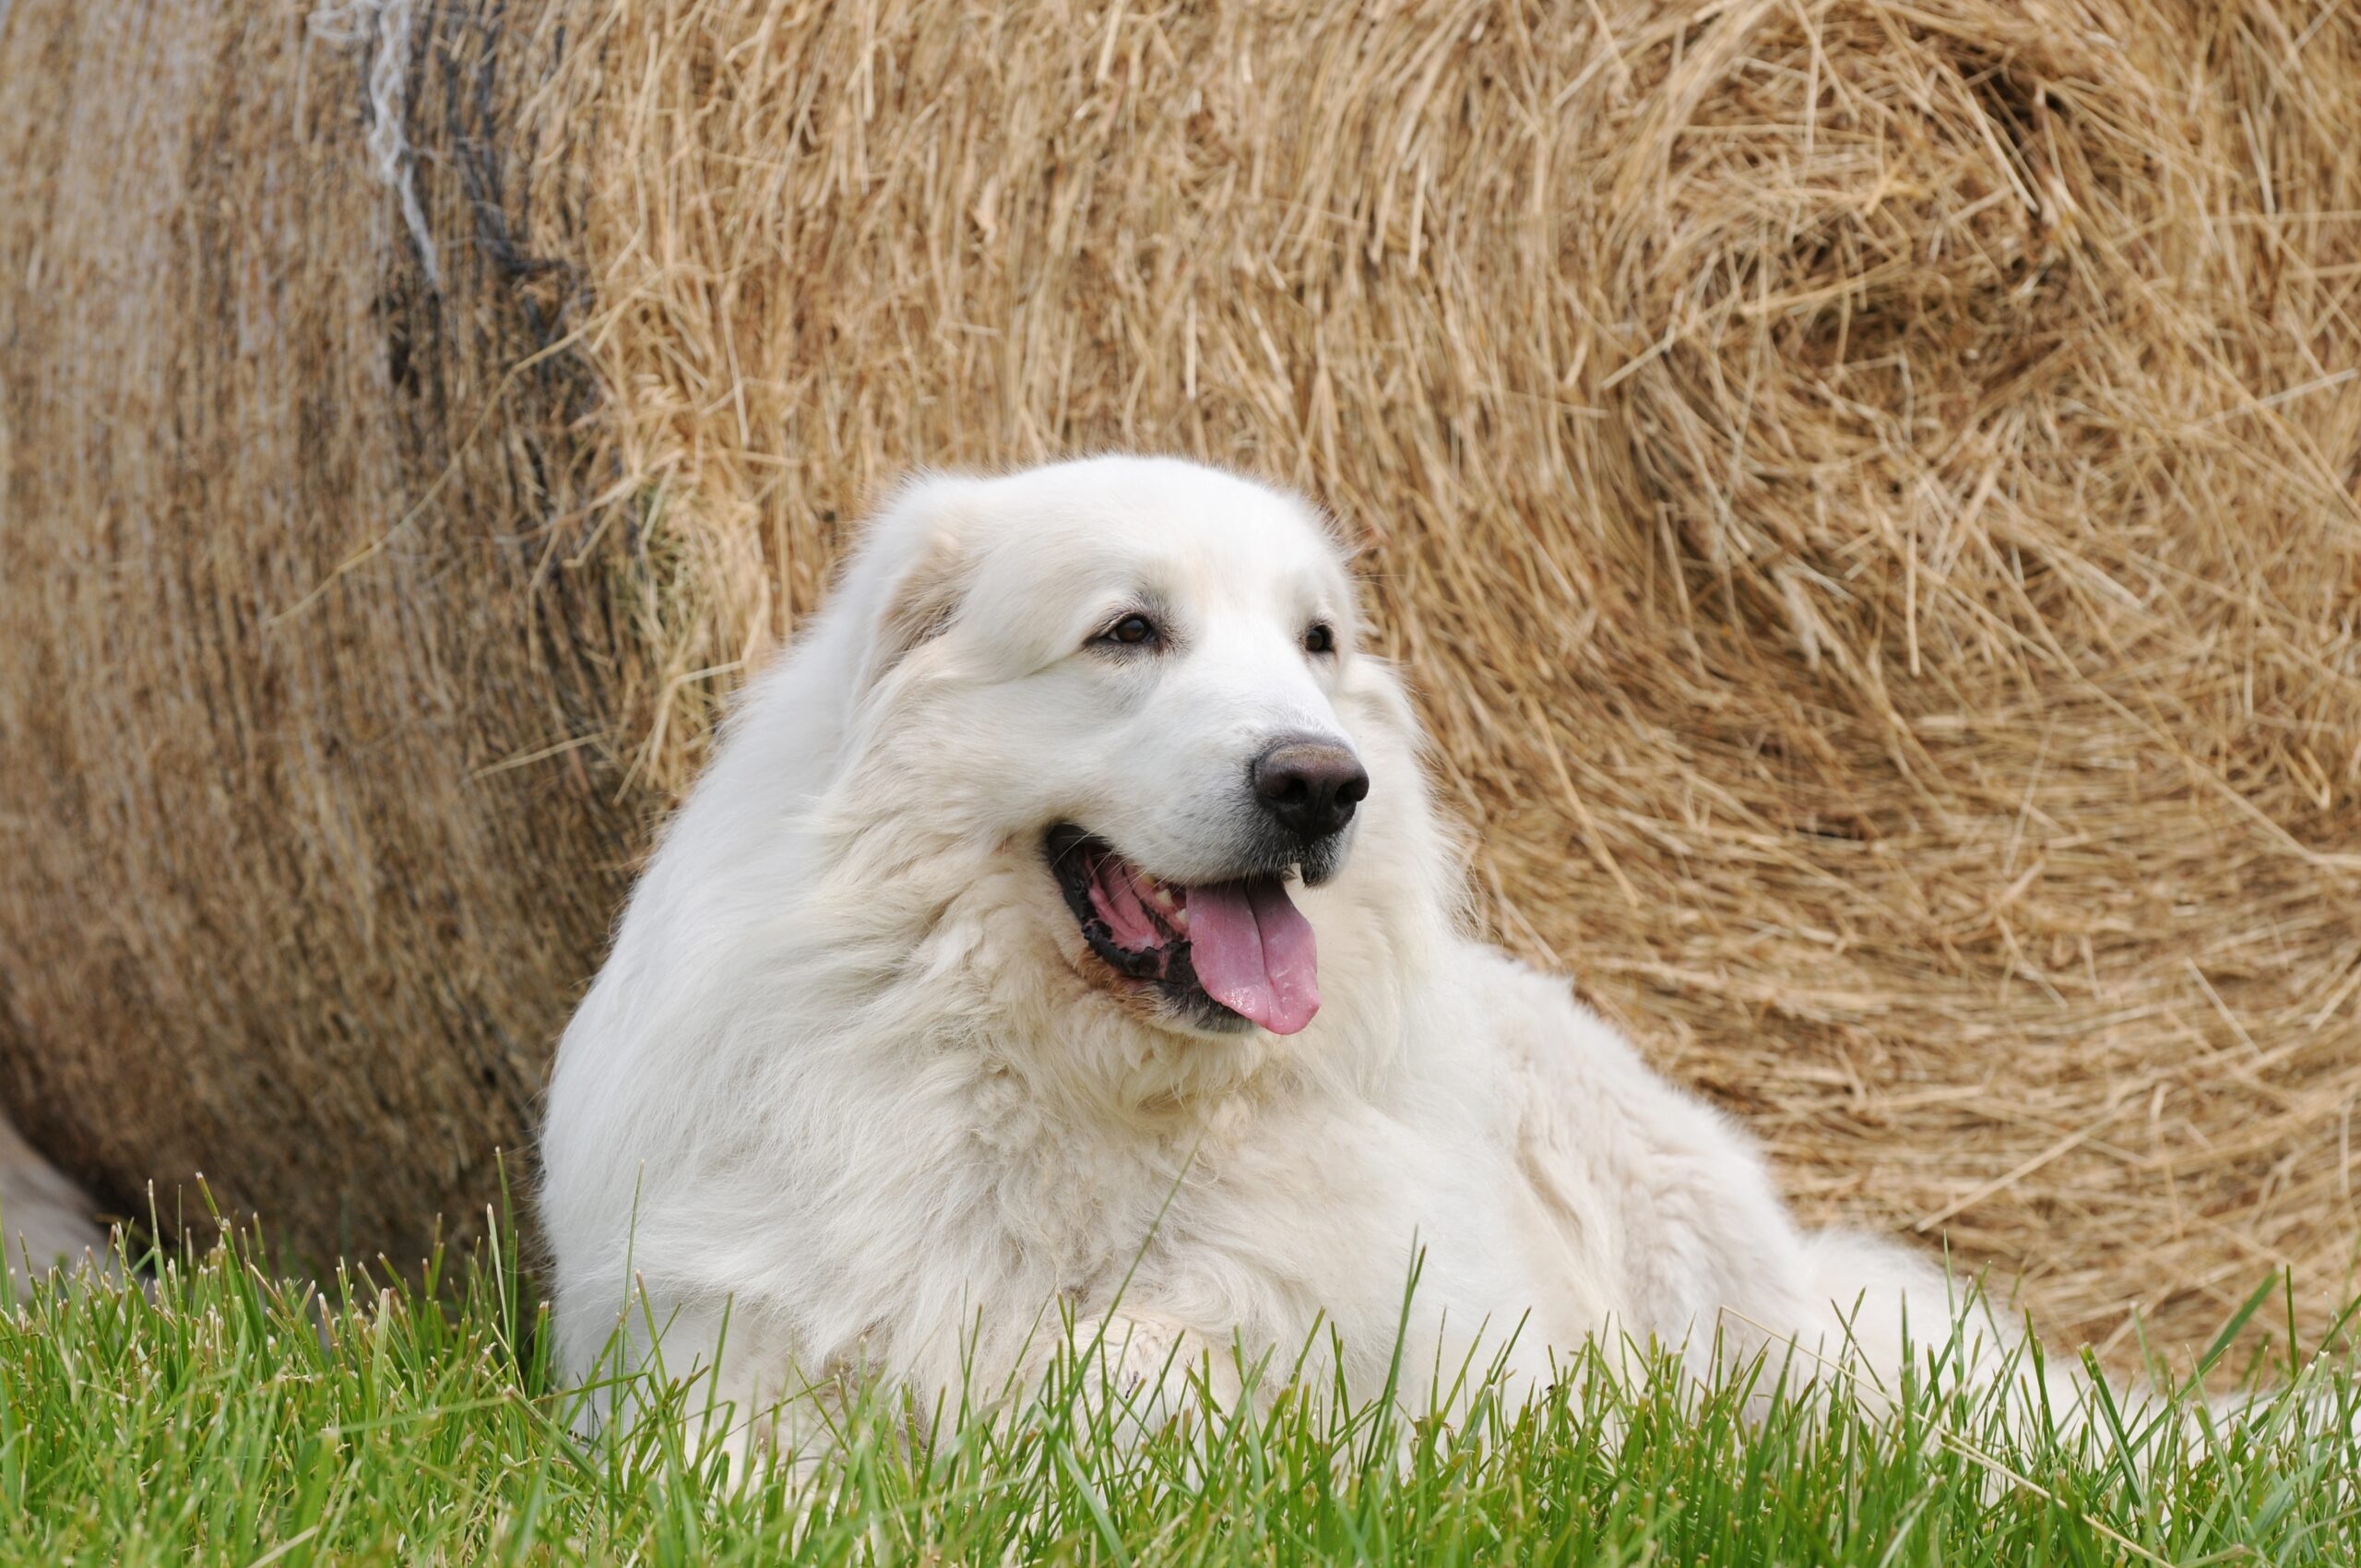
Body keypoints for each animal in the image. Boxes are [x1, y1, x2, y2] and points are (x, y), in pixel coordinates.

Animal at [547, 453, 2011, 1455]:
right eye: (1128, 630)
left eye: (1317, 643)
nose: (1322, 781)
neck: (1085, 1086)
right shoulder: (717, 1378)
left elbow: (1147, 1360)